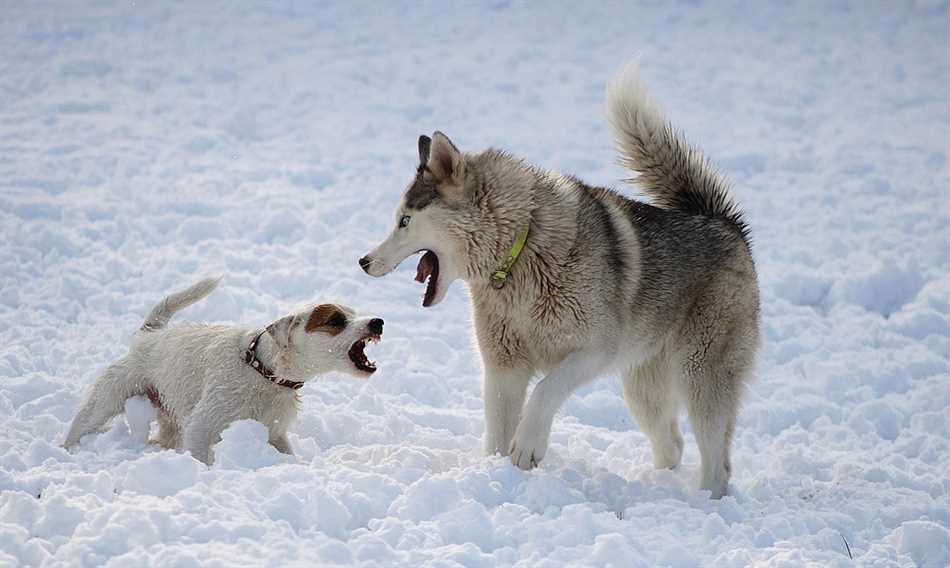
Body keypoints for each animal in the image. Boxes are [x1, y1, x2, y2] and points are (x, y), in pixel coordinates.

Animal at [61, 276, 384, 466]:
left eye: (354, 314)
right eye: (335, 320)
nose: (378, 322)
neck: (262, 370)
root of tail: (149, 335)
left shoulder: (275, 433)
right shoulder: (201, 428)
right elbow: (202, 457)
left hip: (169, 418)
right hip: (105, 402)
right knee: (81, 426)